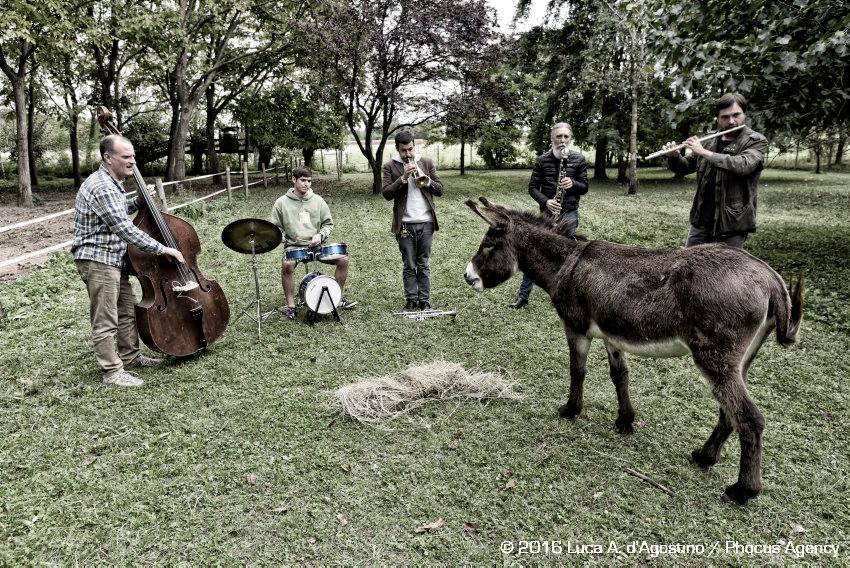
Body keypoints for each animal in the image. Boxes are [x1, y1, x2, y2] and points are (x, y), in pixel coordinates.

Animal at [463, 197, 803, 504]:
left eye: (489, 245)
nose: (468, 277)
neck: (566, 264)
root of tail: (771, 278)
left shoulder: (576, 329)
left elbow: (577, 371)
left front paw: (571, 410)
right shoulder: (612, 336)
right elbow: (620, 376)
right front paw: (625, 421)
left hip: (714, 358)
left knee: (749, 418)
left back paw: (743, 491)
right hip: (738, 360)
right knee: (729, 411)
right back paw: (705, 456)